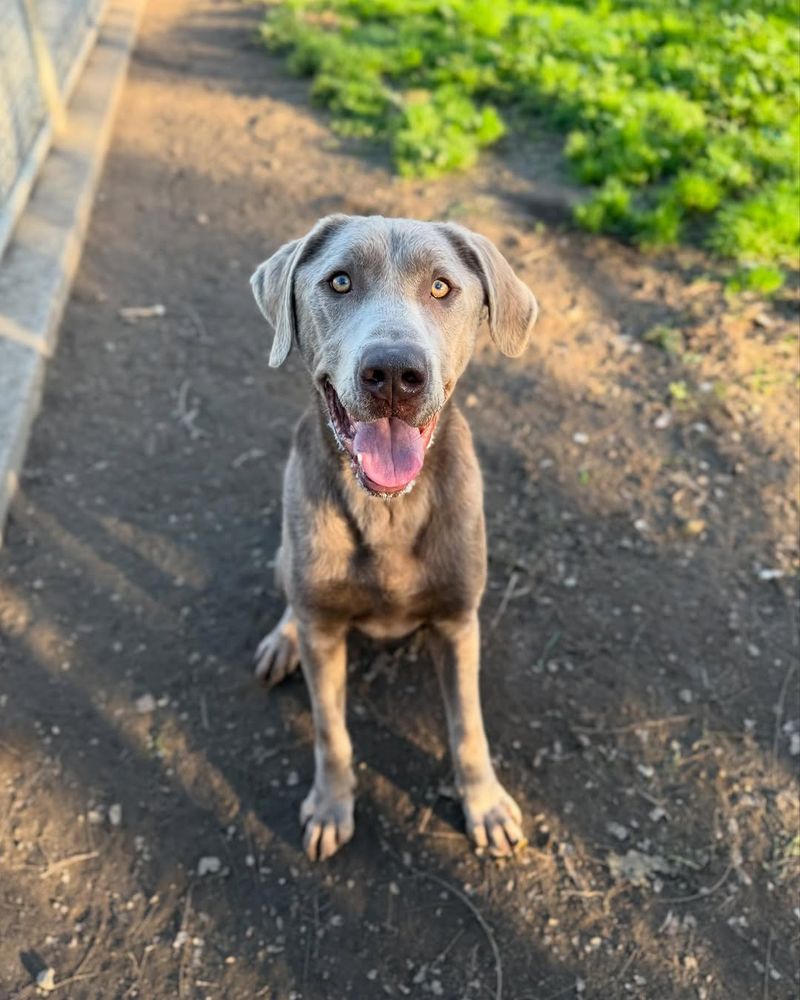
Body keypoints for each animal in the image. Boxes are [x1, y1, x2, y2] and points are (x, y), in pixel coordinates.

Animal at [250, 215, 536, 864]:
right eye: (339, 281)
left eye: (441, 287)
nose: (393, 375)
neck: (387, 512)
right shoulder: (325, 634)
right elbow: (330, 730)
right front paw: (330, 806)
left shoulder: (458, 623)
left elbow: (468, 727)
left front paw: (485, 806)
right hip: (289, 562)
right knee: (293, 602)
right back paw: (282, 639)